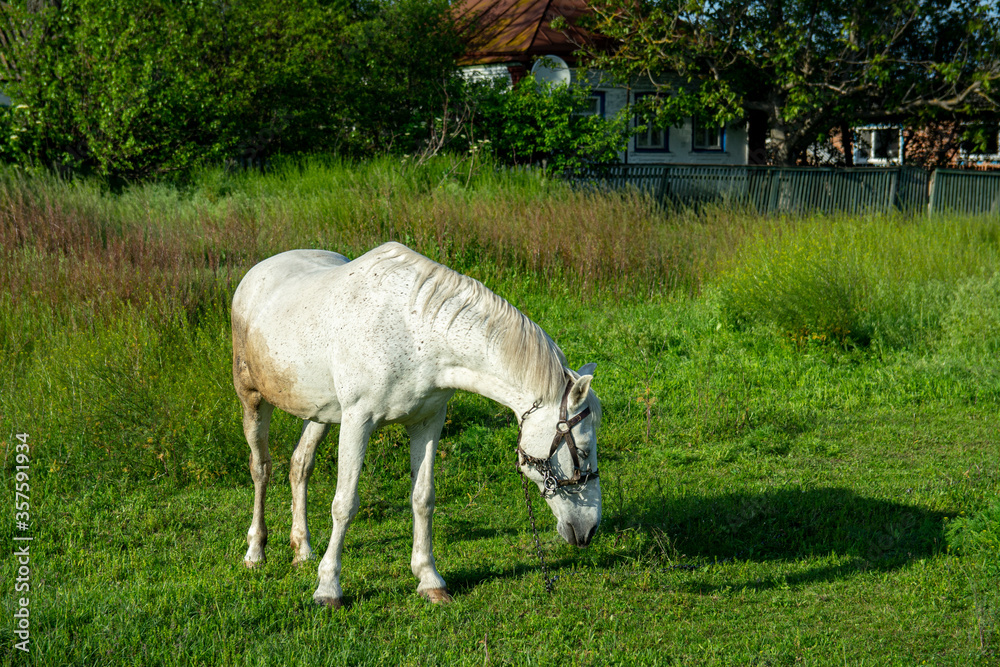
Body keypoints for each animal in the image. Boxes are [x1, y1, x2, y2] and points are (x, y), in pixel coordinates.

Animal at [231, 242, 602, 607]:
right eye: (583, 451)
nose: (589, 530)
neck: (415, 332)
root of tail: (257, 271)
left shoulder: (427, 422)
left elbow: (423, 498)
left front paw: (430, 580)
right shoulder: (357, 421)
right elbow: (344, 504)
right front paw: (328, 588)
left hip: (320, 412)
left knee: (300, 465)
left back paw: (303, 549)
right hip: (252, 398)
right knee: (261, 468)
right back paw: (255, 551)